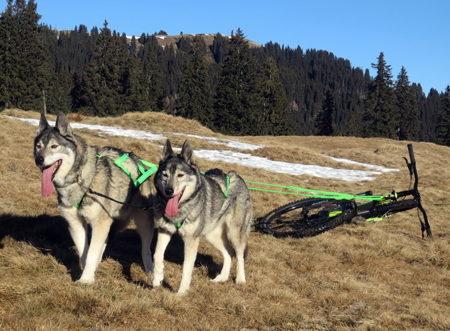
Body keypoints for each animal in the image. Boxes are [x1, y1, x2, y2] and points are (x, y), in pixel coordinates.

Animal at [32, 113, 154, 284]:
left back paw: (151, 273)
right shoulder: (76, 224)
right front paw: (87, 274)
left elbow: (91, 253)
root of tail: (139, 162)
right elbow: (85, 252)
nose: (39, 160)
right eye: (38, 146)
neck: (80, 179)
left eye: (54, 146)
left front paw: (85, 281)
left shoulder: (100, 222)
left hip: (143, 223)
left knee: (146, 250)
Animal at [153, 139, 253, 294]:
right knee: (229, 253)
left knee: (239, 255)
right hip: (211, 236)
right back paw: (222, 278)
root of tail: (236, 176)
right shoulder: (164, 231)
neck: (182, 208)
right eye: (165, 175)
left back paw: (240, 280)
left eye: (180, 175)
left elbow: (186, 268)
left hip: (234, 234)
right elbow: (157, 255)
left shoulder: (191, 240)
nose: (169, 191)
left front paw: (181, 293)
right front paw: (157, 279)